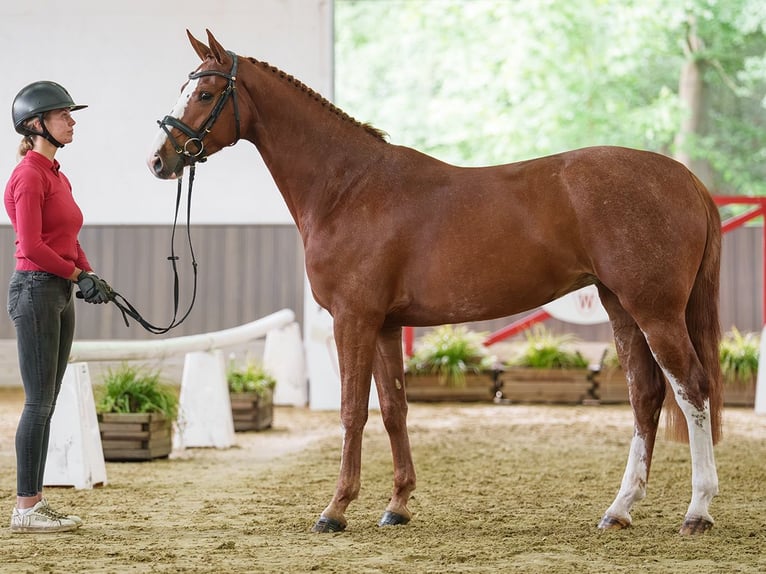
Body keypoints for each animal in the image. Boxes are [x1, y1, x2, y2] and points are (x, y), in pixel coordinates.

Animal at [148, 30, 723, 536]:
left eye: (204, 92)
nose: (160, 159)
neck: (348, 187)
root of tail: (685, 178)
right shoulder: (384, 325)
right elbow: (394, 410)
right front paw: (397, 506)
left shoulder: (353, 320)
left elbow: (352, 410)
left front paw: (336, 509)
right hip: (621, 307)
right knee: (646, 395)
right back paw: (619, 509)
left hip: (655, 311)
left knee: (692, 389)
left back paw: (697, 511)